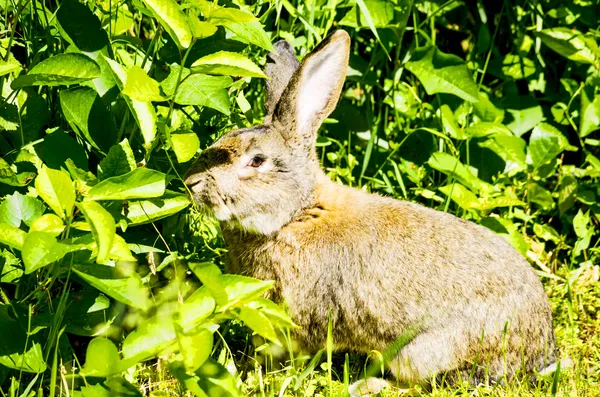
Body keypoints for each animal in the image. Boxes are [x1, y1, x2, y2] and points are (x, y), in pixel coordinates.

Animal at [184, 30, 556, 390]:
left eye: (257, 161)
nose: (191, 182)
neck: (296, 214)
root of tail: (539, 355)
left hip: (418, 351)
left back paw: (367, 384)